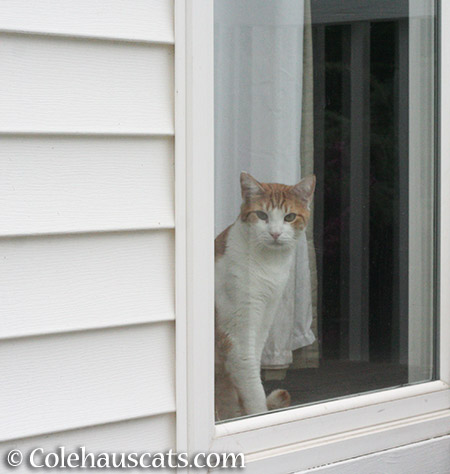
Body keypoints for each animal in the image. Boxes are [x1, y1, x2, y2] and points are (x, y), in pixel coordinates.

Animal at [215, 169, 316, 418]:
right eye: (261, 215)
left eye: (289, 217)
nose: (275, 233)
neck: (268, 265)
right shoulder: (237, 339)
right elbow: (253, 389)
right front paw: (257, 415)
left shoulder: (262, 323)